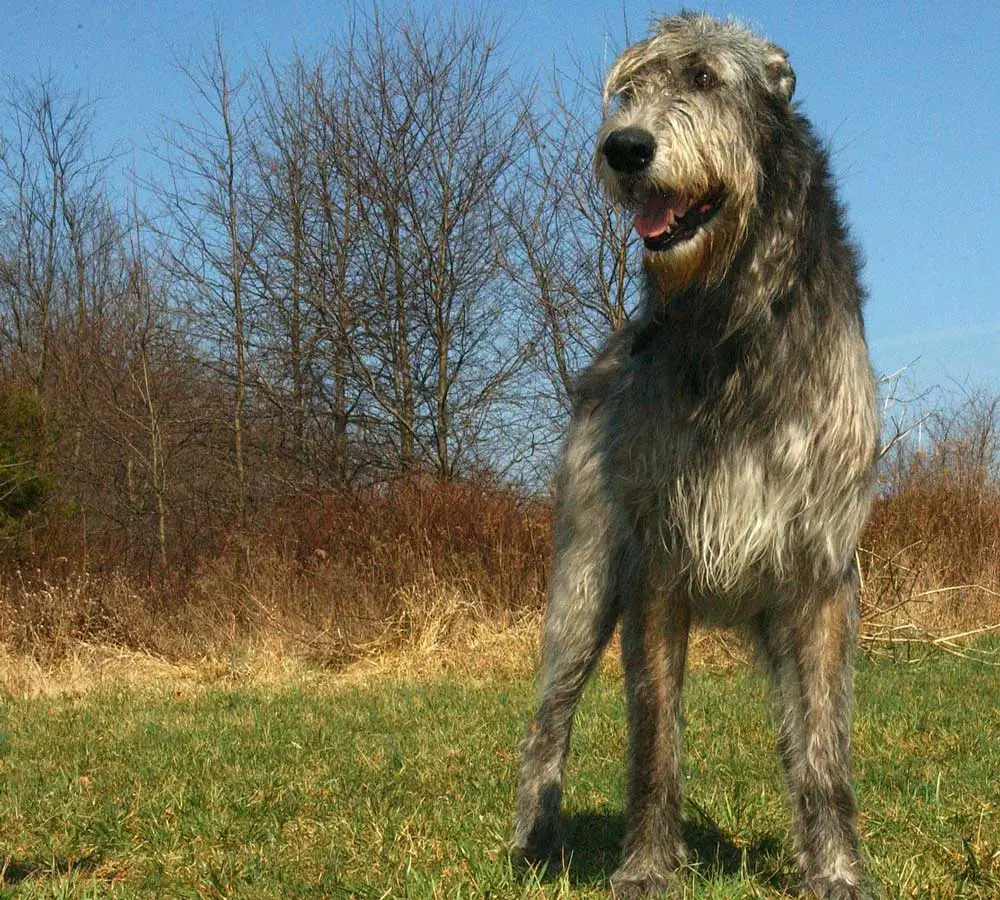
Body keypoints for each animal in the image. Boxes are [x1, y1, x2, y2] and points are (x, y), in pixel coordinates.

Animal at [512, 14, 880, 900]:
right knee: (548, 721)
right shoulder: (656, 566)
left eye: (707, 78)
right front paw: (646, 868)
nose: (625, 148)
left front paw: (836, 869)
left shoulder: (821, 574)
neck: (732, 319)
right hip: (582, 582)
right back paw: (535, 844)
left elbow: (824, 748)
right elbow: (653, 738)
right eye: (629, 92)